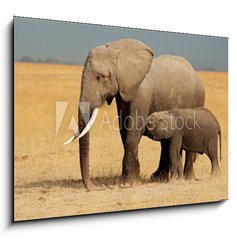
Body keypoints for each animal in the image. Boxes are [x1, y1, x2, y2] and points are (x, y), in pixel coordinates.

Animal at [64, 39, 205, 189]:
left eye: (100, 77)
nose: (96, 187)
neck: (117, 51)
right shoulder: (122, 93)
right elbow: (124, 130)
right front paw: (131, 179)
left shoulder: (141, 92)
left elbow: (134, 130)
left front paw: (128, 183)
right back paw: (159, 178)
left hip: (198, 99)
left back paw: (187, 178)